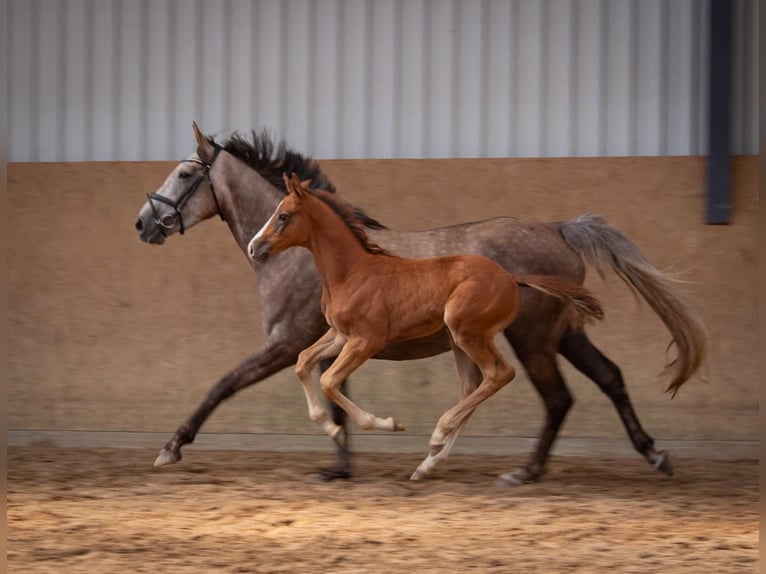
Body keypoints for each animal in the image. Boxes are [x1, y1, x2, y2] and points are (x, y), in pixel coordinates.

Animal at [247, 173, 606, 480]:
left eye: (283, 215)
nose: (254, 247)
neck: (351, 272)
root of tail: (510, 277)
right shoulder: (339, 335)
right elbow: (303, 362)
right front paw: (331, 428)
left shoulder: (366, 340)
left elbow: (329, 380)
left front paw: (387, 424)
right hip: (461, 343)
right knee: (474, 386)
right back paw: (428, 462)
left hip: (468, 333)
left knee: (499, 374)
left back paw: (438, 436)